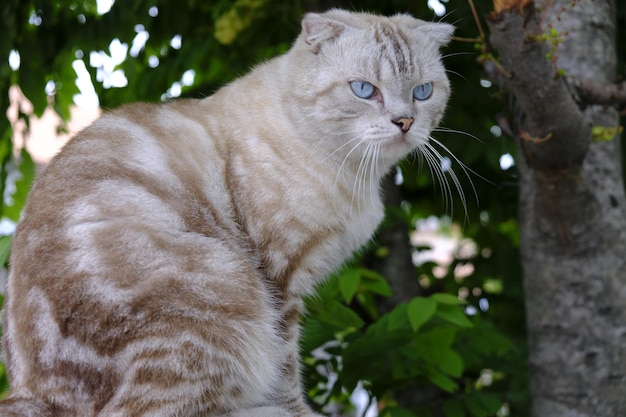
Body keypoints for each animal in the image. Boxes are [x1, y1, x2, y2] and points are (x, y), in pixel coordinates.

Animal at [0, 8, 450, 416]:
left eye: (423, 92)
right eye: (363, 89)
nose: (405, 121)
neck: (357, 174)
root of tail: (32, 393)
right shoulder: (280, 279)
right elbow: (286, 368)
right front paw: (296, 411)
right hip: (226, 285)